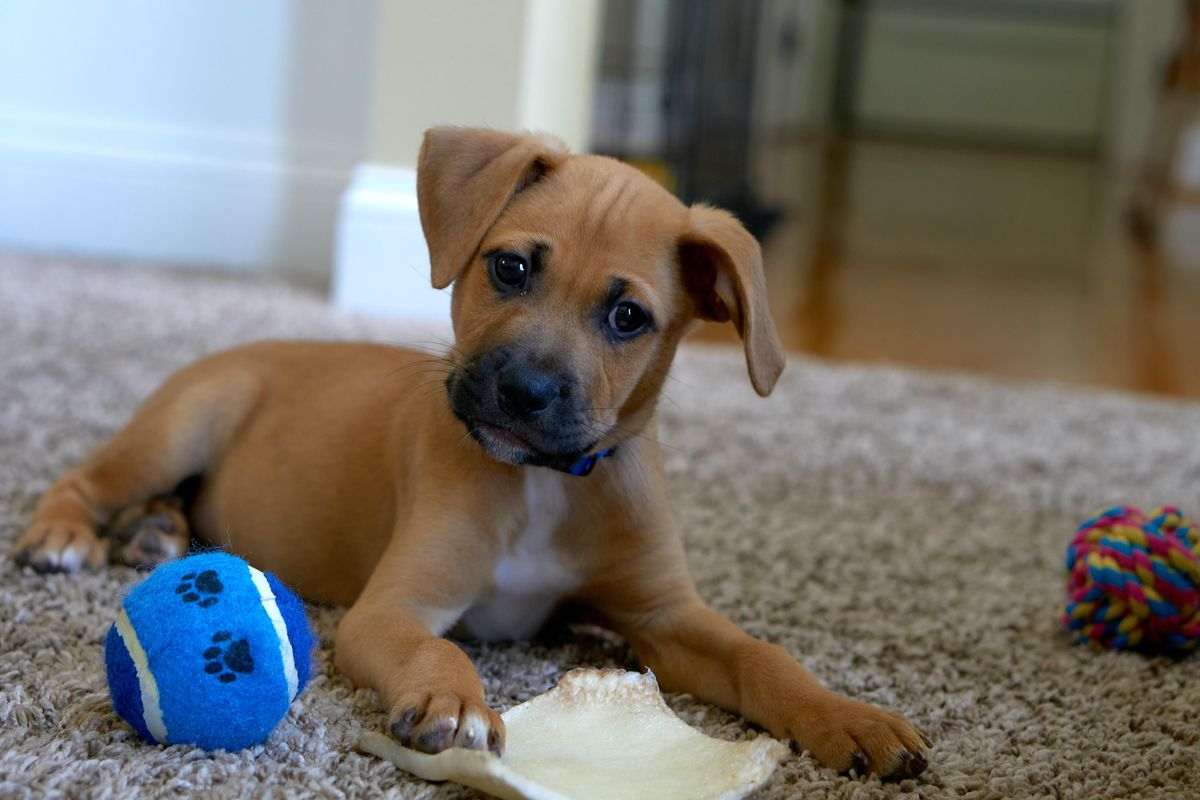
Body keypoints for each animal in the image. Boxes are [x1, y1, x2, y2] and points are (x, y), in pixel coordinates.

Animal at [11, 128, 926, 777]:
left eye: (629, 317)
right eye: (511, 267)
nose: (523, 392)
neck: (548, 484)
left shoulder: (667, 618)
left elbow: (763, 656)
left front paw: (850, 717)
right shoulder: (395, 607)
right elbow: (437, 646)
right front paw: (454, 705)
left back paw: (161, 534)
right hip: (180, 425)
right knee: (85, 479)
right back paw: (66, 536)